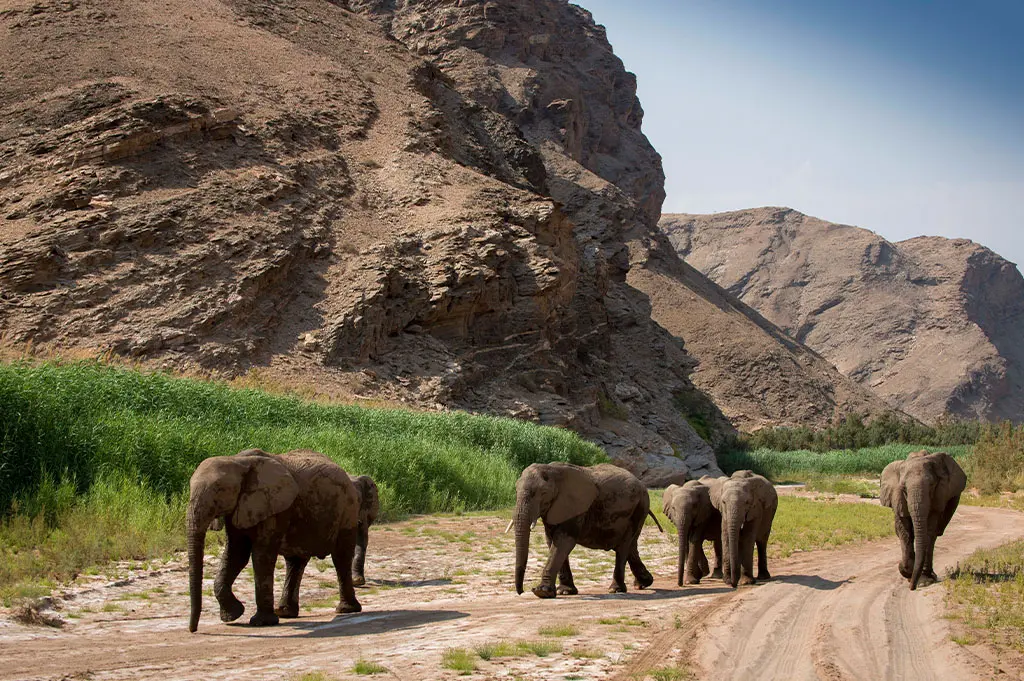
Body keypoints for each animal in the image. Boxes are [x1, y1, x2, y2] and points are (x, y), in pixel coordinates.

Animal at [186, 448, 362, 632]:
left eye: (220, 490)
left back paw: (346, 610)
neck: (236, 461)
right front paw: (233, 615)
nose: (193, 630)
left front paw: (261, 622)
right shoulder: (241, 506)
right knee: (295, 562)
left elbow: (261, 555)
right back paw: (285, 612)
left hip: (347, 510)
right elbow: (236, 554)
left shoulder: (275, 506)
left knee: (341, 557)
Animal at [509, 462, 663, 598]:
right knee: (631, 545)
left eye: (543, 493)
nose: (521, 592)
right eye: (515, 490)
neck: (552, 470)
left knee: (623, 546)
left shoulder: (575, 507)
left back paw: (616, 589)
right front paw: (564, 592)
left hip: (639, 508)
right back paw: (642, 583)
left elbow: (563, 542)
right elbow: (552, 541)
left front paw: (542, 592)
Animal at [880, 450, 966, 590]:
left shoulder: (938, 496)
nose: (912, 587)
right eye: (904, 489)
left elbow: (928, 530)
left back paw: (928, 576)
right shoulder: (897, 498)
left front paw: (921, 580)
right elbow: (904, 531)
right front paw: (907, 570)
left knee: (933, 536)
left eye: (932, 485)